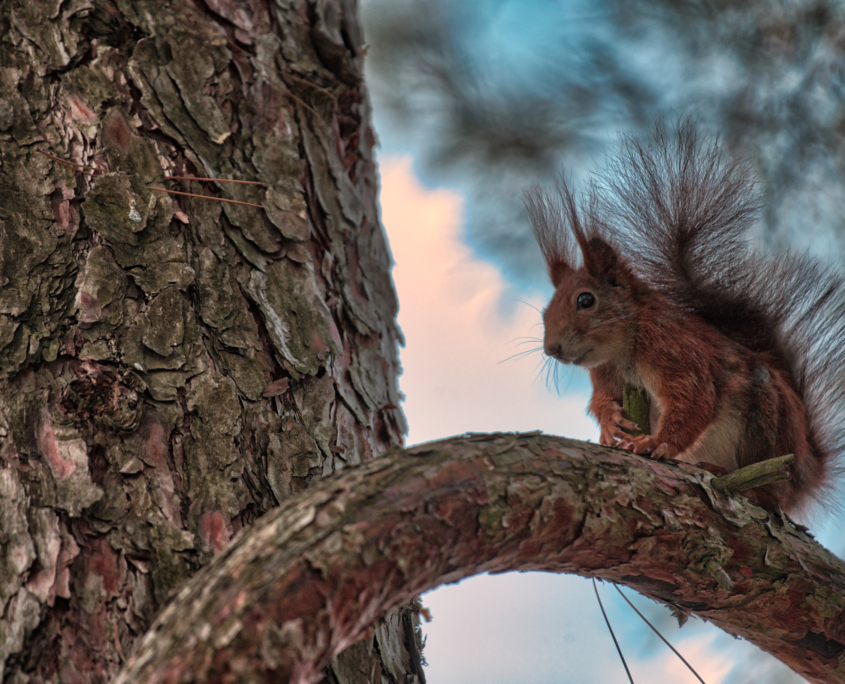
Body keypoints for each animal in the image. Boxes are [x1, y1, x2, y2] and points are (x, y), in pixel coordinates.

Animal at [526, 119, 845, 516]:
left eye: (586, 300)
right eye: (544, 310)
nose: (550, 349)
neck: (625, 347)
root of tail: (806, 472)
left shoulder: (675, 350)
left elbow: (693, 400)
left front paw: (654, 444)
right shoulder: (606, 374)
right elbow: (601, 400)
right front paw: (609, 424)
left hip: (768, 429)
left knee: (773, 492)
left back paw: (741, 483)